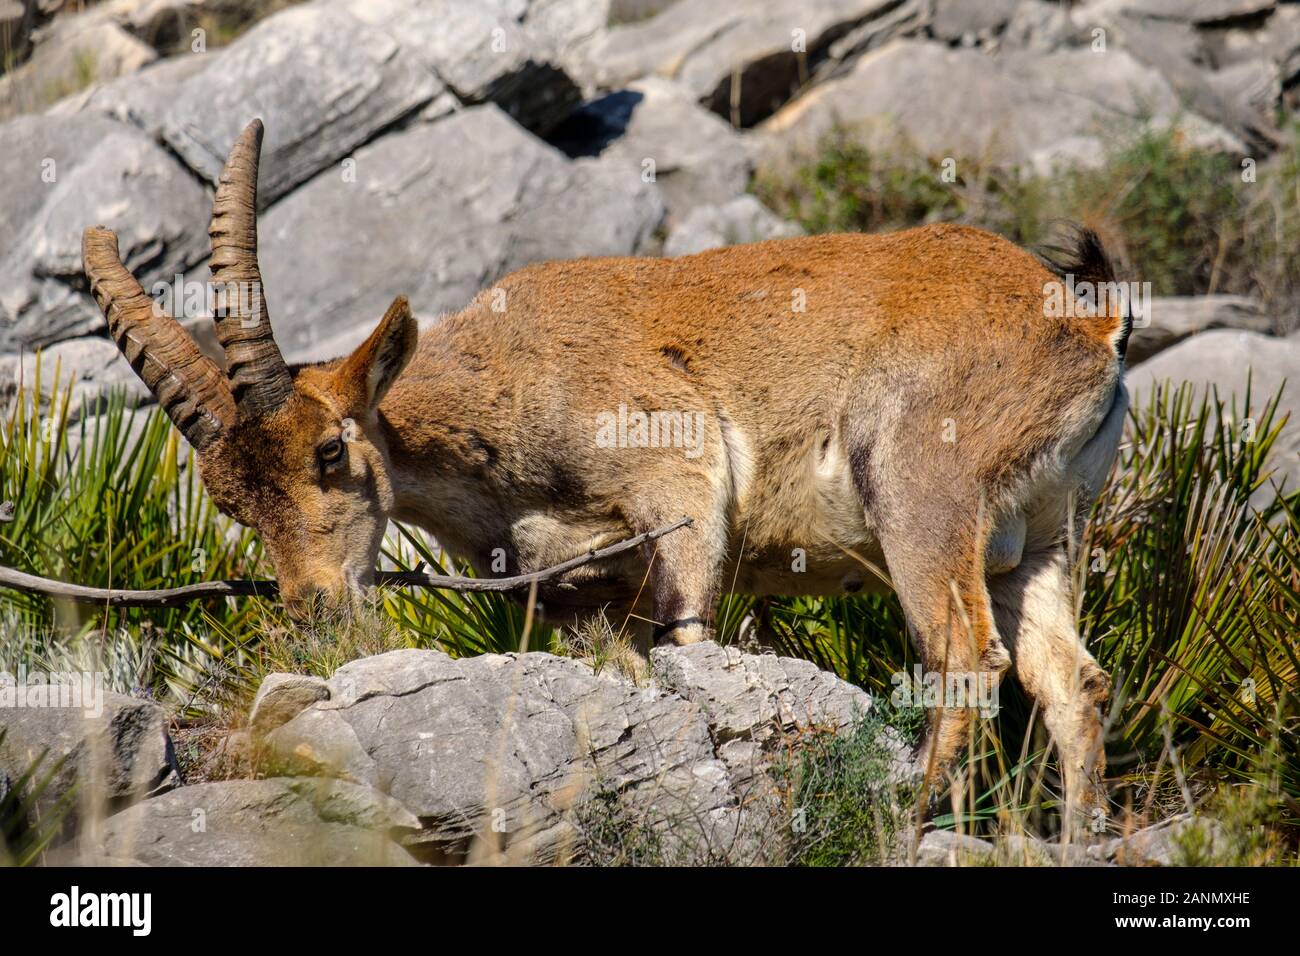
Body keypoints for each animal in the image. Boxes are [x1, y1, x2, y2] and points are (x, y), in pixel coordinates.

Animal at [82, 120, 1128, 816]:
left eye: (330, 450)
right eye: (228, 501)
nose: (315, 611)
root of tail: (1090, 326)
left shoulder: (679, 491)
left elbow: (692, 636)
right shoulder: (583, 597)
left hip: (918, 494)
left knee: (966, 656)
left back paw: (912, 816)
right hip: (1044, 536)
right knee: (1071, 682)